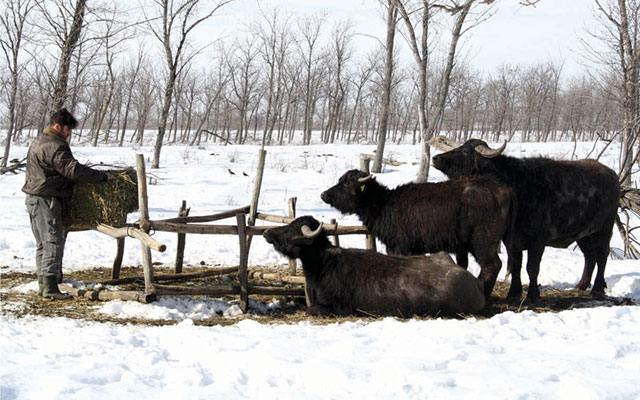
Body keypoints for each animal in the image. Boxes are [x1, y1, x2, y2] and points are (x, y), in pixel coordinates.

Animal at [260, 217, 484, 318]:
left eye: (292, 229)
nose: (267, 232)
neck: (324, 264)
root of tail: (475, 284)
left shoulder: (339, 308)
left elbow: (310, 309)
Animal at [320, 167, 516, 298]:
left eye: (346, 183)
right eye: (340, 180)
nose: (324, 195)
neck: (384, 203)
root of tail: (503, 189)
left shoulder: (403, 247)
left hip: (483, 243)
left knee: (492, 266)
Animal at [430, 139, 620, 302]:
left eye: (465, 151)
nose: (435, 158)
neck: (519, 185)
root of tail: (613, 175)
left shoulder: (537, 242)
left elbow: (532, 268)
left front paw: (532, 295)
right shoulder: (513, 241)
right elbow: (516, 266)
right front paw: (513, 293)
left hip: (604, 229)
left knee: (602, 256)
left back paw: (597, 288)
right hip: (584, 235)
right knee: (590, 256)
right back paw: (581, 285)